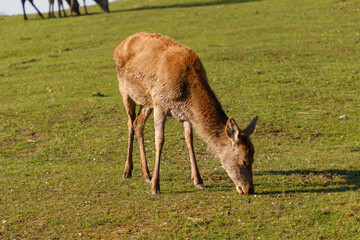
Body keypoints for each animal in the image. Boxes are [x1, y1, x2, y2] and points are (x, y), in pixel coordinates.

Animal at [114, 32, 258, 195]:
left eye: (253, 157)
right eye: (244, 160)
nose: (249, 189)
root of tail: (121, 44)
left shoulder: (186, 113)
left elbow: (189, 139)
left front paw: (198, 181)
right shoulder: (160, 103)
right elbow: (160, 140)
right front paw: (155, 187)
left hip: (147, 100)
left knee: (138, 124)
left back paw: (146, 174)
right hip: (125, 91)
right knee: (130, 123)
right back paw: (128, 171)